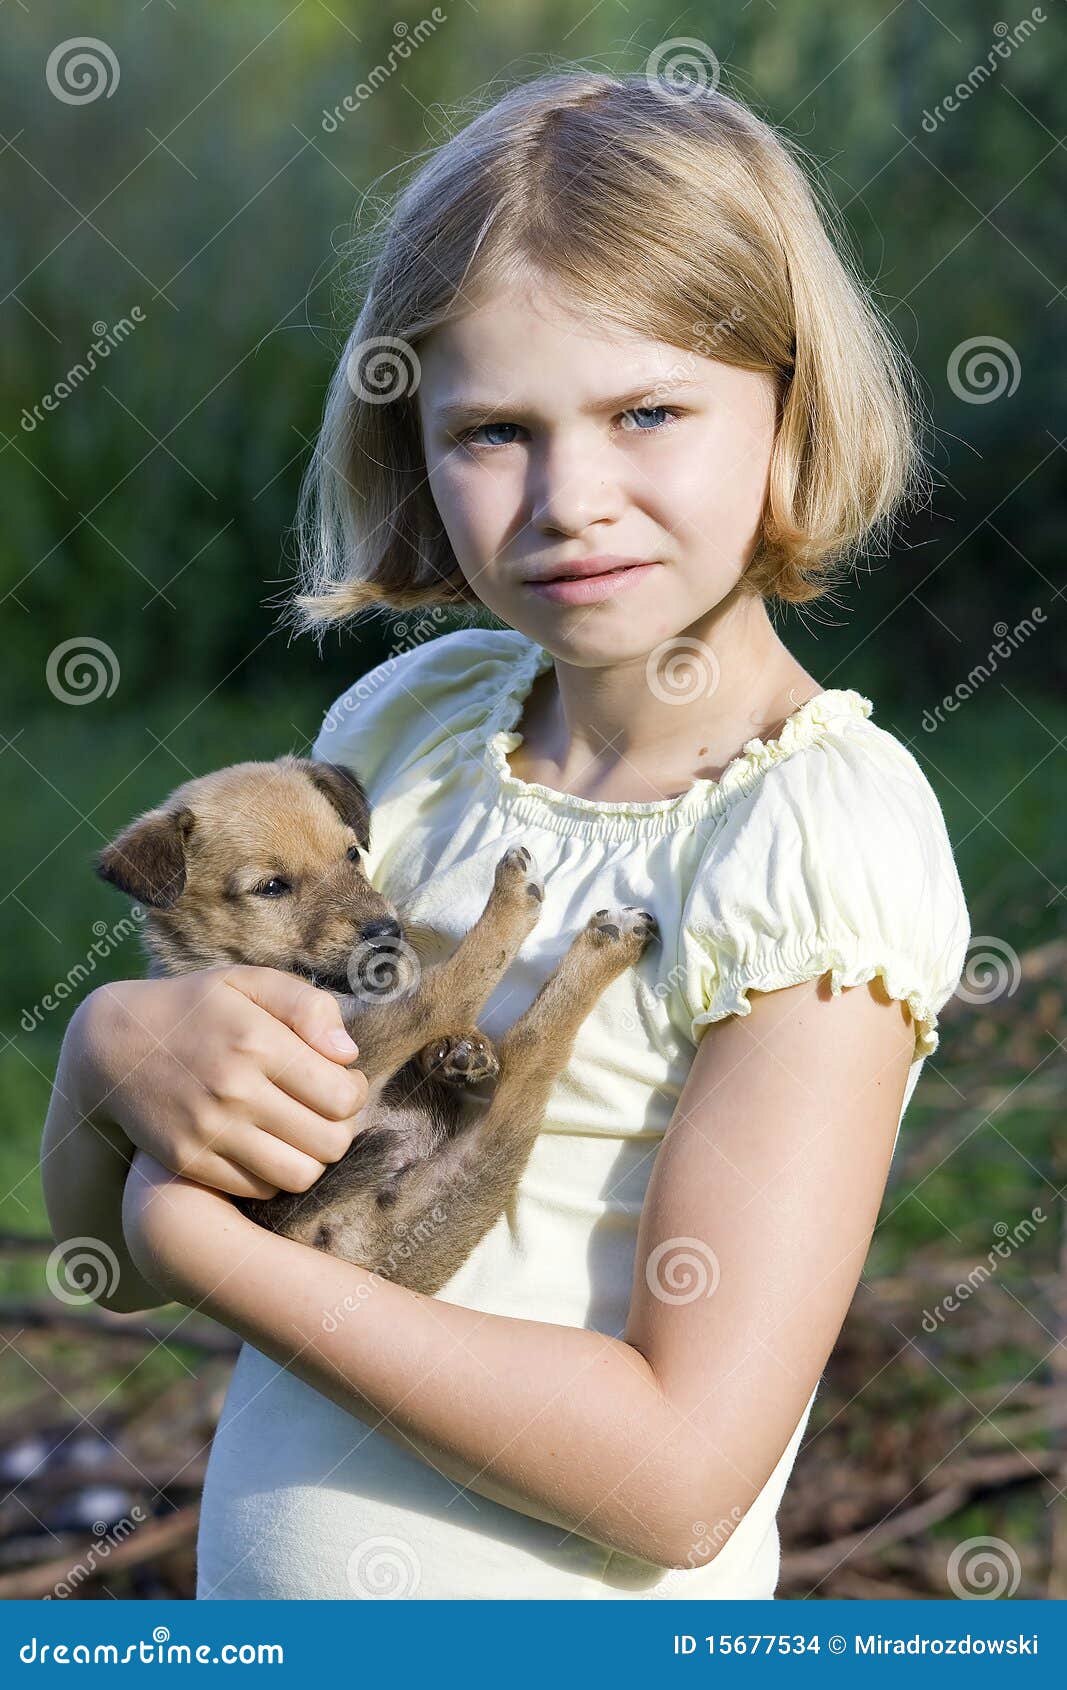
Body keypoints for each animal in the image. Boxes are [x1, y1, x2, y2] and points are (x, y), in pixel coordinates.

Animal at [98, 753, 659, 1291]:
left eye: (352, 854)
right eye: (271, 887)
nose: (387, 931)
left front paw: (459, 1052)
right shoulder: (347, 1057)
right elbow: (442, 989)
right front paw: (508, 910)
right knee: (523, 1045)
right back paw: (582, 927)